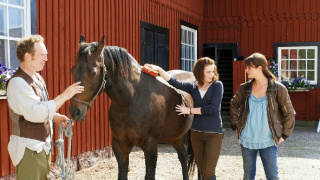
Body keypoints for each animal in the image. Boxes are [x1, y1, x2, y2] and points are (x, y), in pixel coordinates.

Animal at [69, 35, 195, 180]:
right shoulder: (120, 145)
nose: (74, 111)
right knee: (183, 157)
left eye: (93, 72)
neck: (131, 100)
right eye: (73, 69)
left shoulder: (150, 146)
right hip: (176, 135)